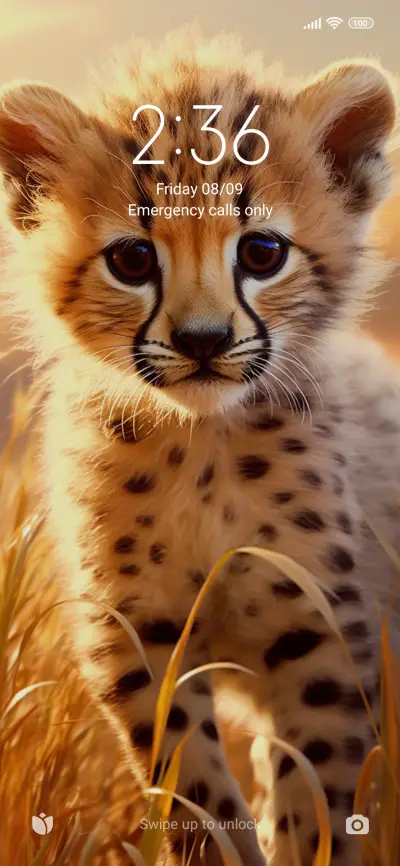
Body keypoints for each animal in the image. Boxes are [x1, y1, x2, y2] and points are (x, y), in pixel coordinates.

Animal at [1, 27, 400, 866]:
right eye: (132, 260)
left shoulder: (317, 626)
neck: (200, 448)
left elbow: (316, 785)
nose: (204, 340)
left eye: (262, 253)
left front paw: (303, 849)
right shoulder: (138, 638)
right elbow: (194, 788)